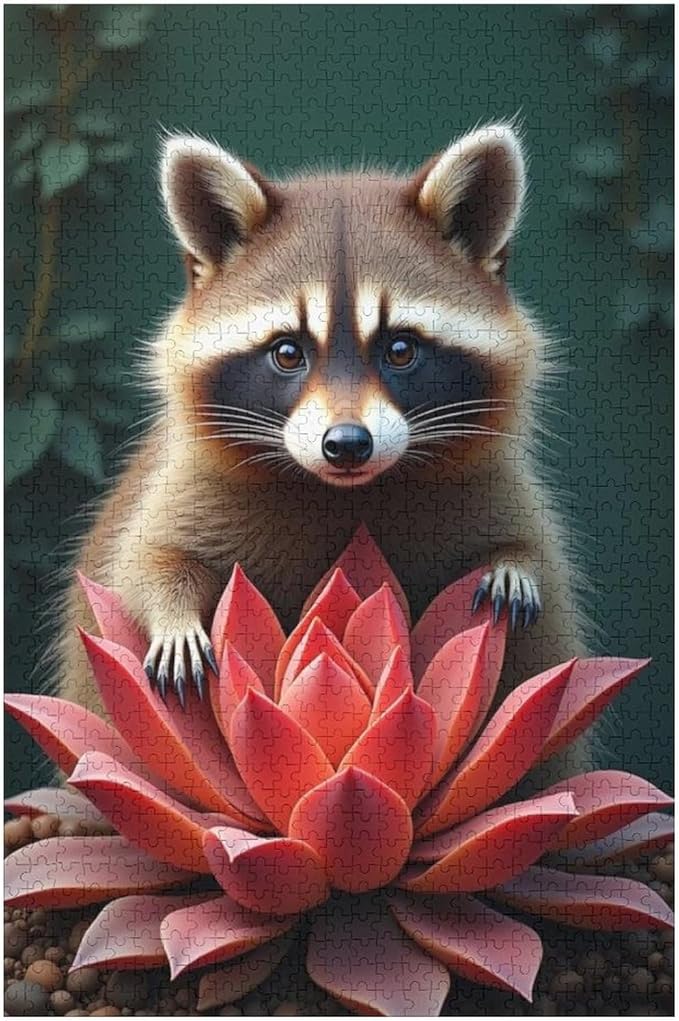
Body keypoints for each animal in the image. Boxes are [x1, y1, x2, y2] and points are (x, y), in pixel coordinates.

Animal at [58, 124, 588, 771]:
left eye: (400, 349)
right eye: (288, 352)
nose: (347, 445)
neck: (345, 493)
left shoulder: (492, 482)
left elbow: (532, 550)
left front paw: (514, 564)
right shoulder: (181, 481)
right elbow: (144, 561)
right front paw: (171, 614)